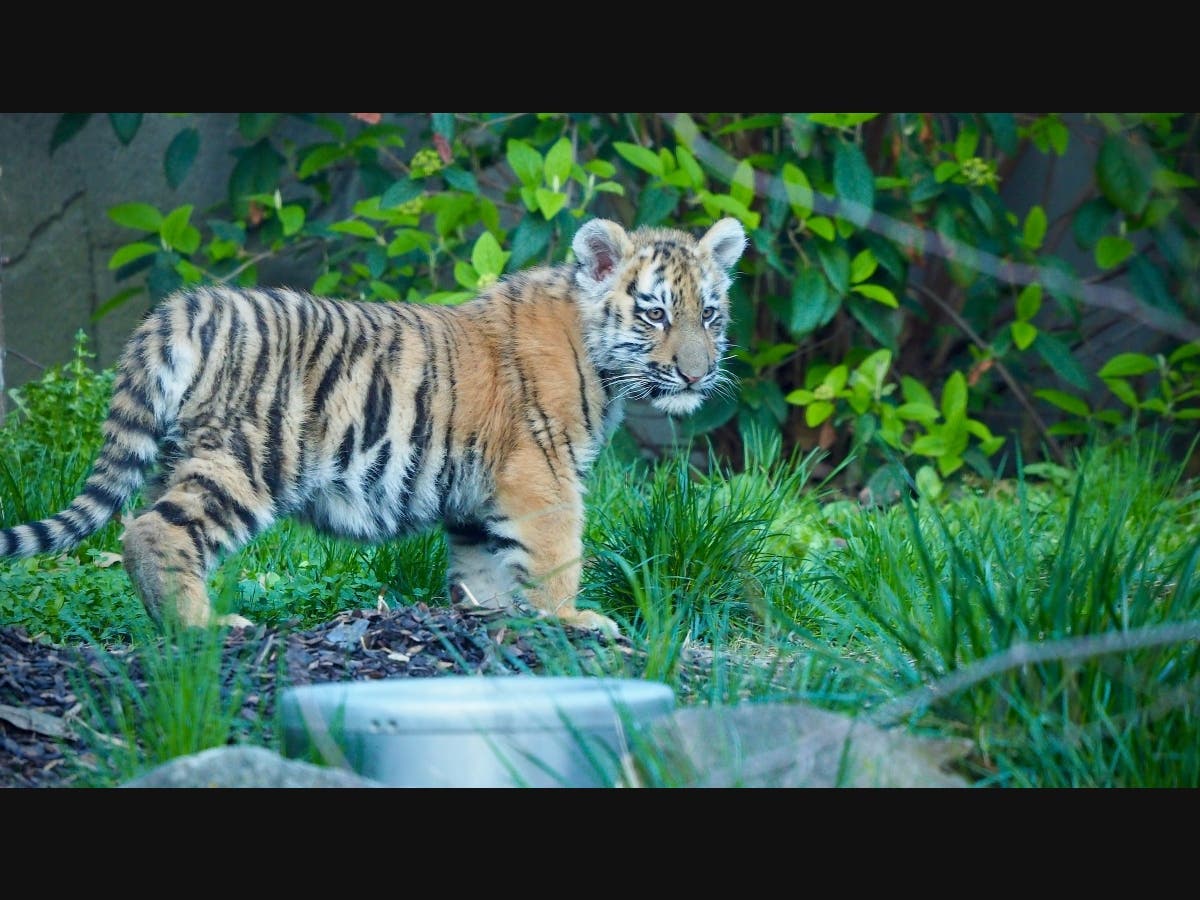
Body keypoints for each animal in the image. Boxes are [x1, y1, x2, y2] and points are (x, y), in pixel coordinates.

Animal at [0, 216, 746, 637]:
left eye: (709, 314)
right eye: (655, 313)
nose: (697, 375)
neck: (597, 356)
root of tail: (187, 306)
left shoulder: (477, 499)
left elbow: (484, 570)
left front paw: (489, 619)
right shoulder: (544, 475)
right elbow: (558, 554)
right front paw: (572, 619)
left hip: (181, 454)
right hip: (248, 457)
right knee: (151, 532)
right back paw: (205, 628)